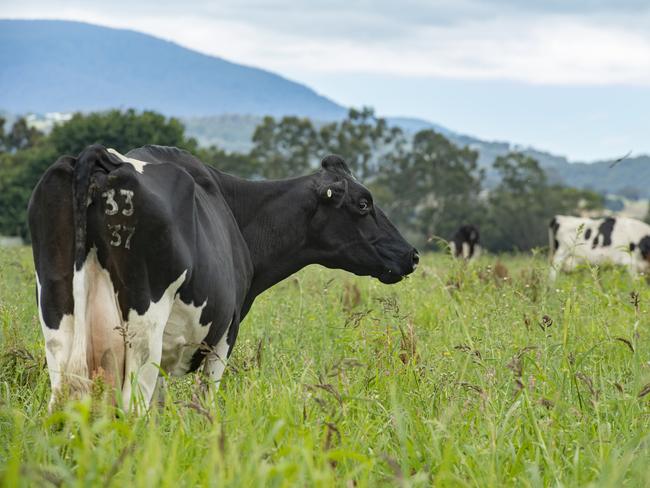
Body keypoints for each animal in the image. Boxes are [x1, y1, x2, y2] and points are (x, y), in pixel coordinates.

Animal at [27, 146, 416, 412]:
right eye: (363, 203)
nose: (410, 254)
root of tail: (98, 157)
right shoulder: (226, 333)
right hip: (143, 330)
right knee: (131, 408)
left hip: (57, 319)